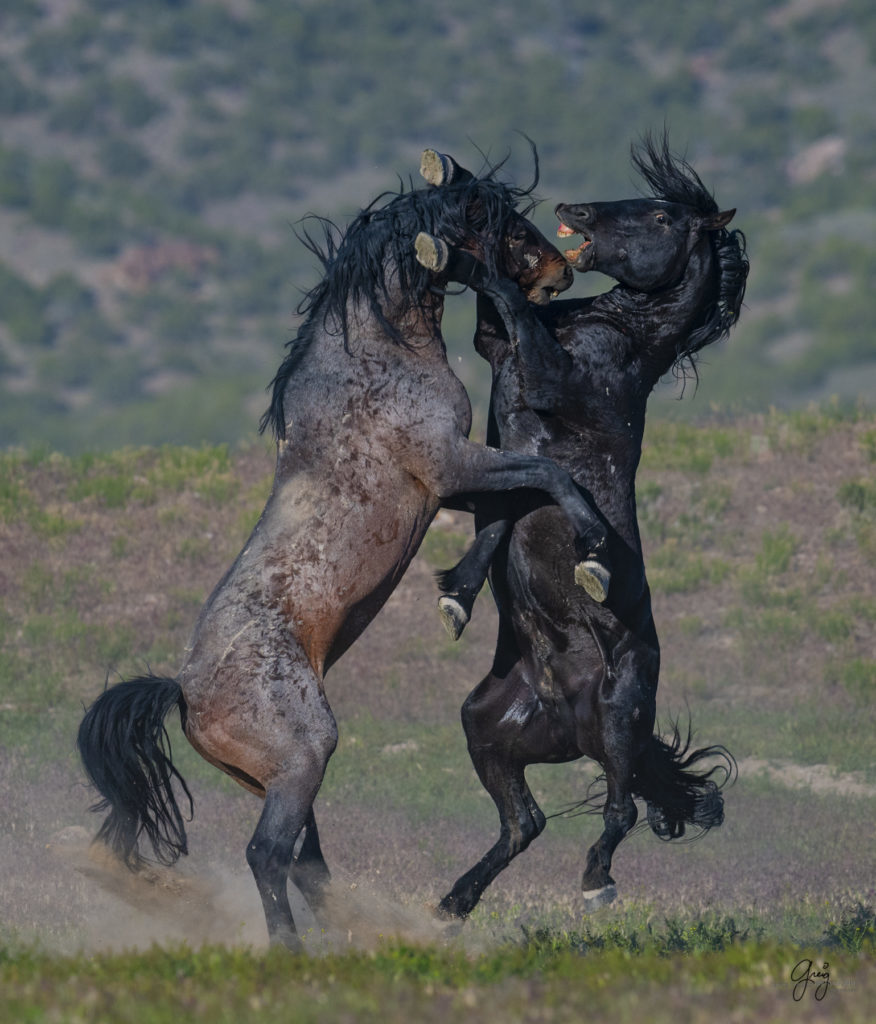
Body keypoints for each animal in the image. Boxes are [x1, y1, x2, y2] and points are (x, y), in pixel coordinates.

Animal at [75, 159, 614, 950]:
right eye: (499, 224)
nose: (558, 273)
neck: (376, 360)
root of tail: (184, 695)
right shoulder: (451, 465)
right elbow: (549, 476)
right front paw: (594, 552)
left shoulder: (447, 487)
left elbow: (506, 511)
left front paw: (457, 595)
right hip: (305, 755)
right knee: (268, 855)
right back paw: (293, 949)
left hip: (274, 778)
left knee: (302, 859)